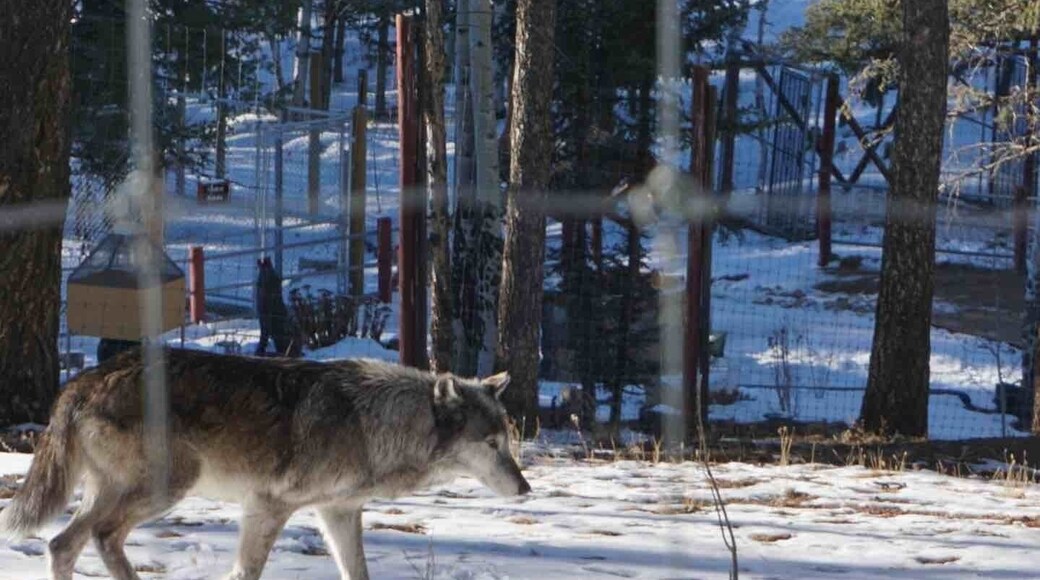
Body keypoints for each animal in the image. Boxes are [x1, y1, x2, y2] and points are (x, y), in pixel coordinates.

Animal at [0, 348, 530, 580]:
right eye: (490, 444)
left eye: (507, 442)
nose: (525, 490)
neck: (373, 422)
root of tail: (83, 379)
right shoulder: (268, 507)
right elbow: (245, 574)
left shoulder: (338, 513)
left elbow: (357, 573)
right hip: (168, 486)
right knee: (100, 537)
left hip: (117, 493)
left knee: (64, 543)